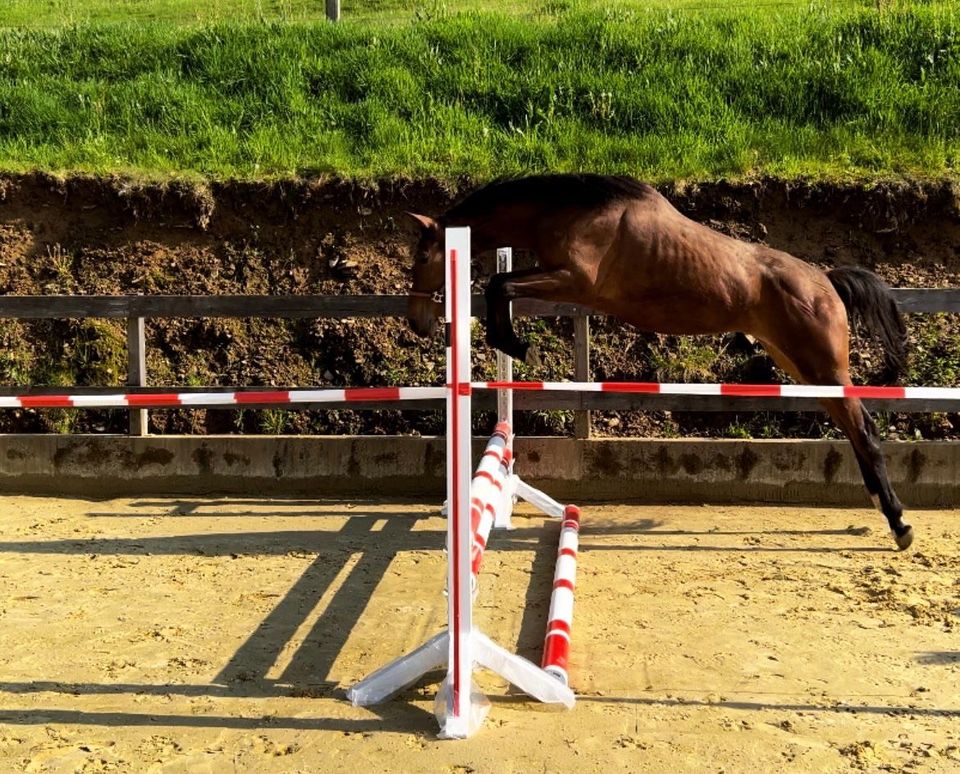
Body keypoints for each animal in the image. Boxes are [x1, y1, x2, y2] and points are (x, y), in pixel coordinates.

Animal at [402, 176, 912, 552]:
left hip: (823, 368)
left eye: (422, 255)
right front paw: (511, 341)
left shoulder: (572, 280)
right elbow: (500, 285)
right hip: (804, 369)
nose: (417, 321)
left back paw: (900, 525)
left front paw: (513, 343)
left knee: (864, 429)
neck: (570, 211)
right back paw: (884, 512)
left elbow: (498, 284)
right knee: (853, 429)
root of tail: (824, 280)